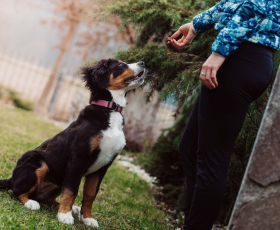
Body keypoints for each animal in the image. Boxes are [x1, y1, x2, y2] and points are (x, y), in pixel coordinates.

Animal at [0, 58, 145, 227]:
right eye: (121, 64)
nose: (143, 63)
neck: (110, 110)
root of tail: (12, 178)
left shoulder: (103, 166)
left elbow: (90, 194)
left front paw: (87, 218)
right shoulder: (78, 158)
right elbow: (72, 190)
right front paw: (64, 215)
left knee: (47, 198)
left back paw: (71, 208)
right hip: (37, 163)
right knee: (16, 192)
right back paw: (31, 203)